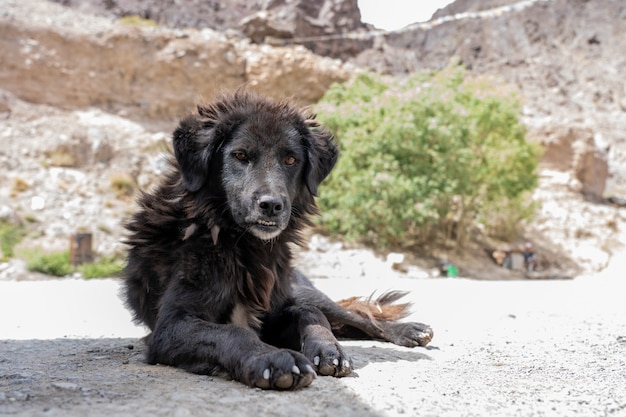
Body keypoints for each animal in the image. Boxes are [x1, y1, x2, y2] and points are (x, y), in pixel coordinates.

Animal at [123, 91, 432, 390]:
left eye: (291, 160)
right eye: (240, 155)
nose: (271, 205)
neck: (244, 245)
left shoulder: (276, 310)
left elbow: (310, 316)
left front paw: (328, 349)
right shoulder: (171, 326)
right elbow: (232, 332)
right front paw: (272, 360)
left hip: (302, 290)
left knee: (352, 315)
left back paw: (408, 330)